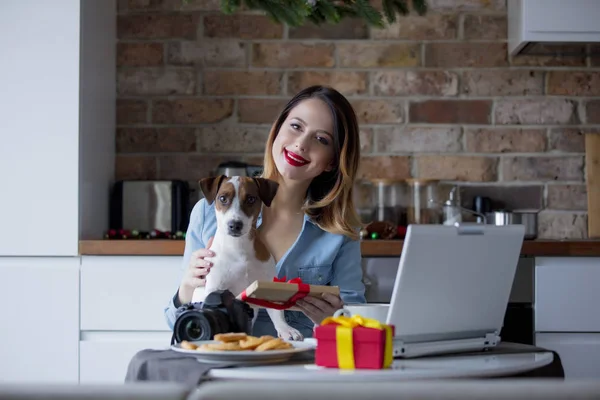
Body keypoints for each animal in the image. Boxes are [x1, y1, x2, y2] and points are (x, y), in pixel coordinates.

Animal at [192, 175, 304, 340]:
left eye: (251, 199)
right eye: (223, 198)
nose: (235, 225)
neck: (238, 247)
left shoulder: (266, 284)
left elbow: (277, 311)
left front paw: (286, 329)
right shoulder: (215, 286)